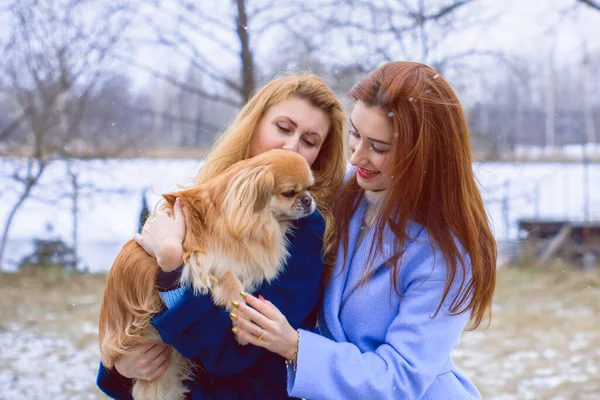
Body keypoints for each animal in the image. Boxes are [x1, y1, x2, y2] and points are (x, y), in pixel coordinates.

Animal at [97, 150, 318, 400]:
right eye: (289, 193)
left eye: (310, 188)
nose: (308, 200)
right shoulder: (201, 263)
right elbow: (234, 288)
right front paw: (243, 325)